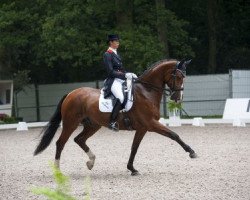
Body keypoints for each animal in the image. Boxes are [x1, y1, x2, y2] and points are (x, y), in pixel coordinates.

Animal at [33, 59, 197, 175]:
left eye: (184, 77)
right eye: (178, 76)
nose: (177, 98)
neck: (147, 91)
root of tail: (71, 93)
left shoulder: (143, 128)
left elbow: (134, 147)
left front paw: (132, 169)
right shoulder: (150, 124)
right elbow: (174, 135)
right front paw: (191, 152)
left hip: (93, 125)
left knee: (79, 139)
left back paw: (91, 162)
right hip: (70, 123)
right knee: (60, 143)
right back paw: (58, 170)